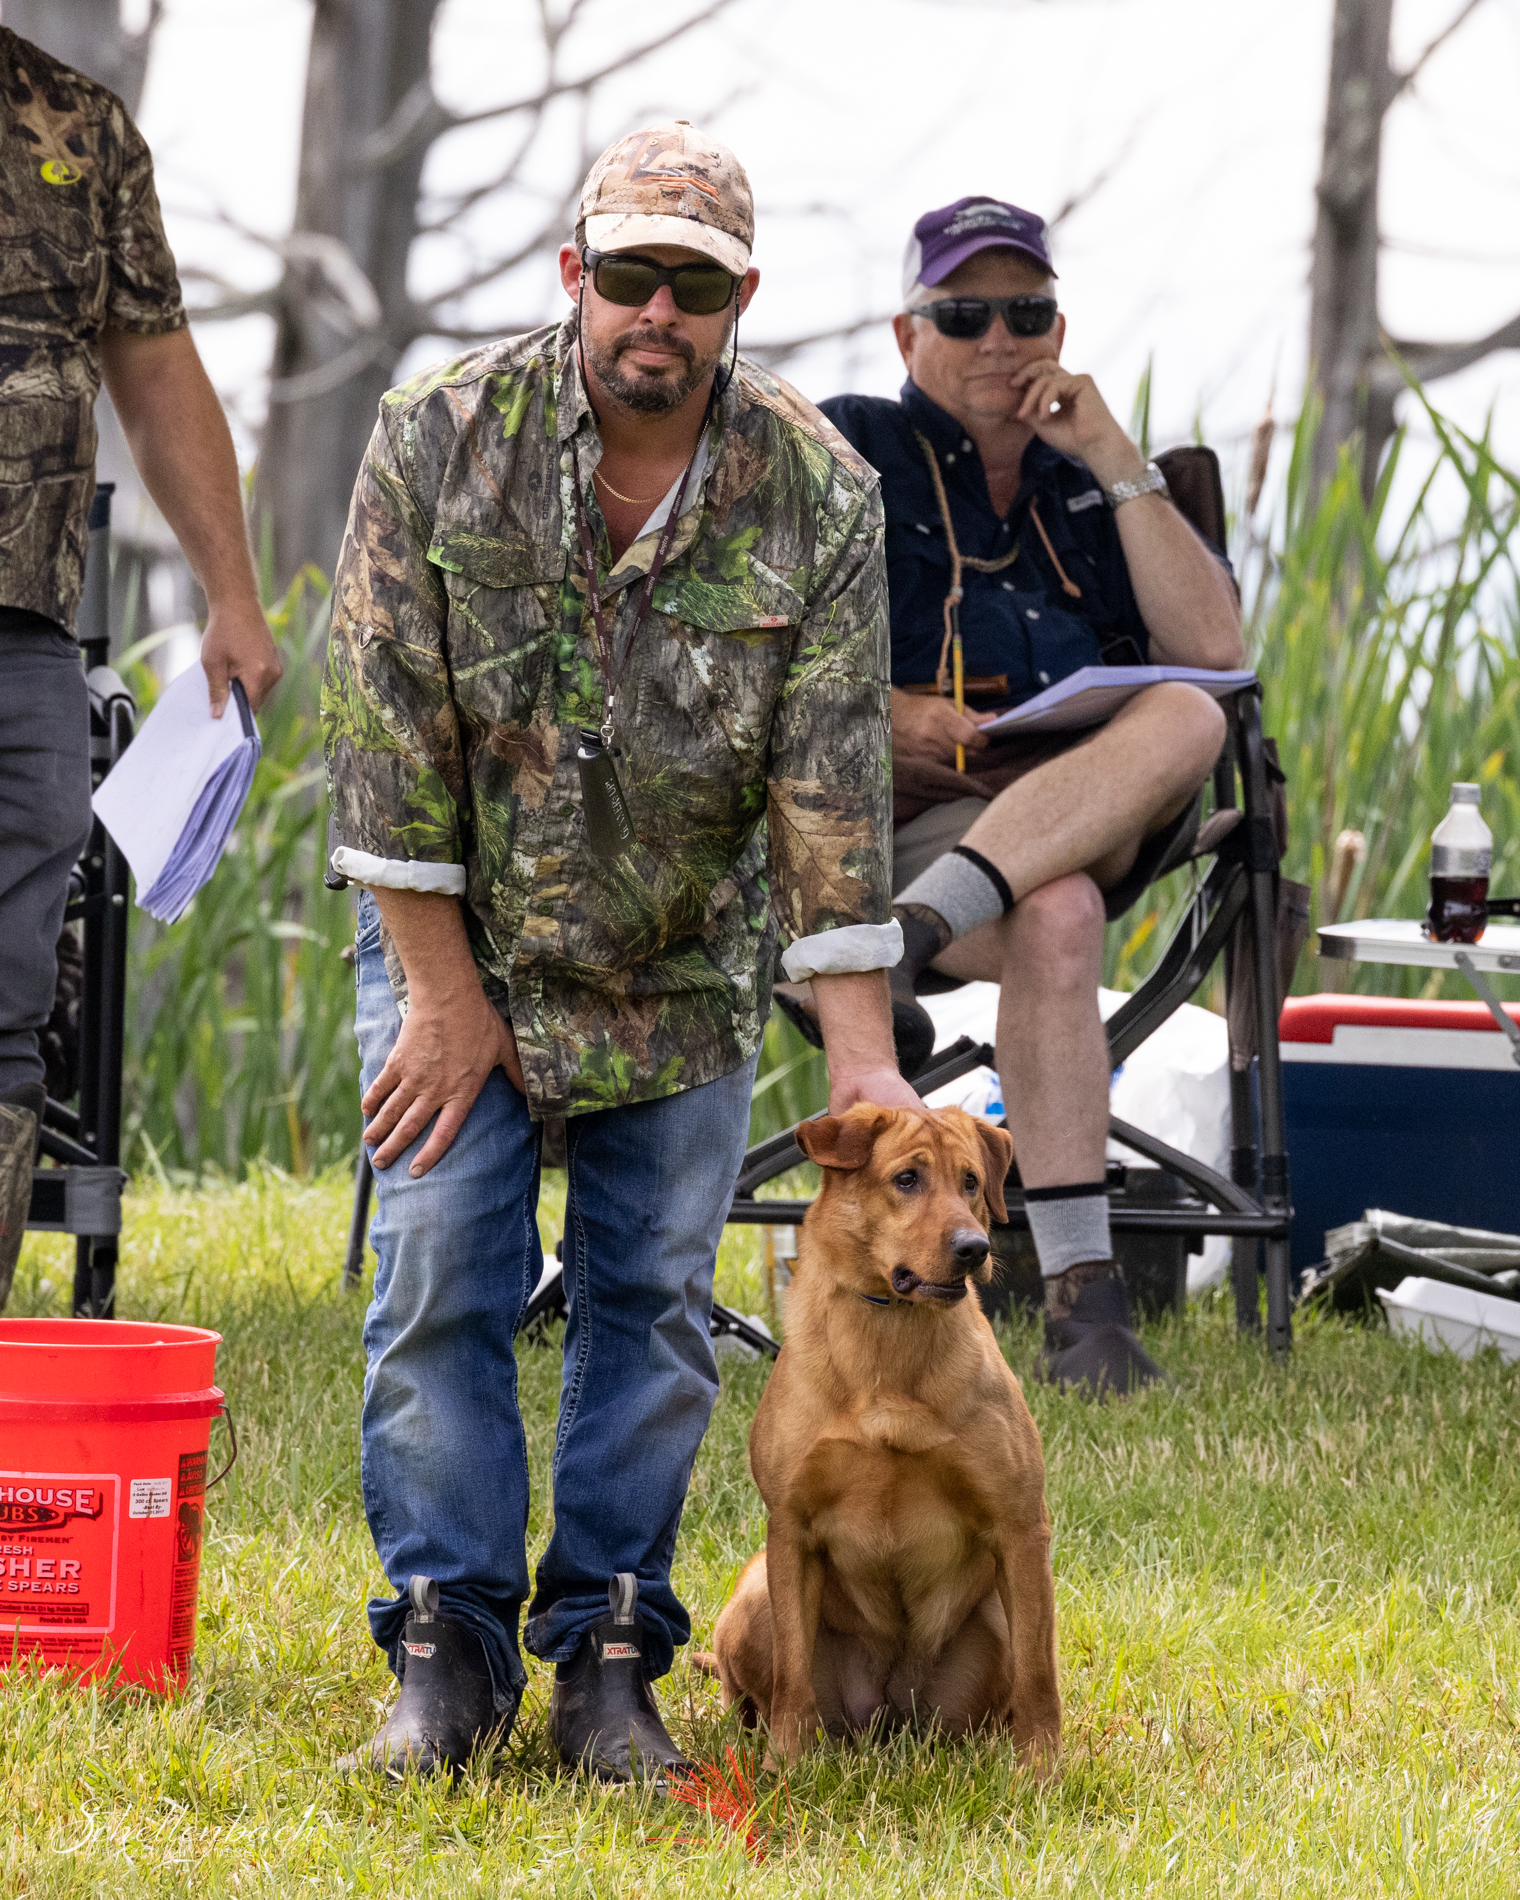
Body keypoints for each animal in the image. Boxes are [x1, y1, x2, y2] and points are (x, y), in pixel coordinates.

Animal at [708, 1103, 1060, 1771]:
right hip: (756, 1593)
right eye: (907, 1180)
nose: (974, 1248)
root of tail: (886, 1714)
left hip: (988, 1628)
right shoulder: (792, 1527)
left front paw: (1044, 1769)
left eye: (971, 1182)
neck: (890, 1344)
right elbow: (792, 1676)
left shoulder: (1020, 1527)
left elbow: (1039, 1674)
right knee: (754, 1689)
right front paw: (786, 1767)